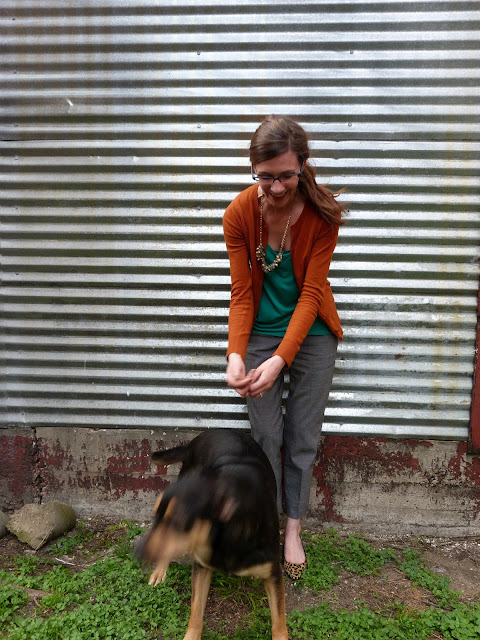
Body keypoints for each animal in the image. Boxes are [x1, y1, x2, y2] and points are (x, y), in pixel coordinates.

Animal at [137, 428, 288, 640]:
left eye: (179, 521)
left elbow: (279, 623)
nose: (138, 553)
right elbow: (195, 612)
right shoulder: (201, 566)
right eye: (154, 516)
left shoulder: (274, 574)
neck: (226, 537)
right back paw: (160, 571)